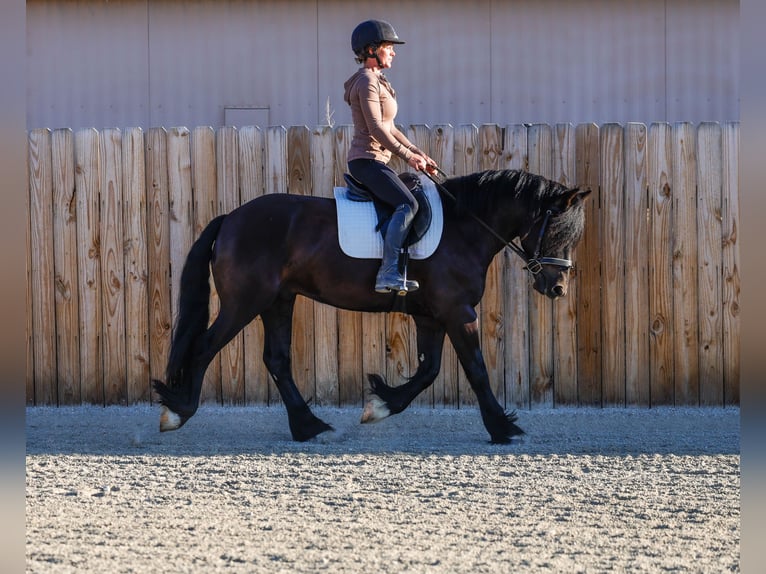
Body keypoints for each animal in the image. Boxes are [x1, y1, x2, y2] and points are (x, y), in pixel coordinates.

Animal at [153, 168, 591, 443]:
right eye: (557, 230)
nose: (557, 288)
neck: (464, 226)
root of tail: (231, 218)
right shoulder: (459, 312)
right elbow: (477, 370)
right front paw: (503, 428)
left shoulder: (432, 317)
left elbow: (428, 371)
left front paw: (380, 404)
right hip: (245, 302)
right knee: (205, 348)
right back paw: (178, 411)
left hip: (278, 301)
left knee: (276, 360)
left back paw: (309, 427)